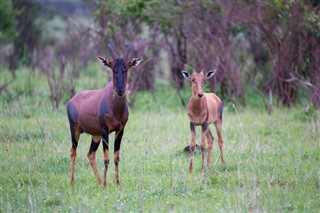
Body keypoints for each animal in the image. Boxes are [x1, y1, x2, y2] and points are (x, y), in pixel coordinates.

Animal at [67, 43, 142, 186]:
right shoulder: (105, 130)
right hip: (75, 129)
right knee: (73, 152)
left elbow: (116, 157)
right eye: (113, 69)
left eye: (126, 69)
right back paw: (72, 182)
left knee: (90, 154)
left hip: (95, 136)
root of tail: (72, 100)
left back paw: (100, 182)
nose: (120, 90)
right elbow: (106, 158)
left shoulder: (120, 130)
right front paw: (107, 185)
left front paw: (116, 183)